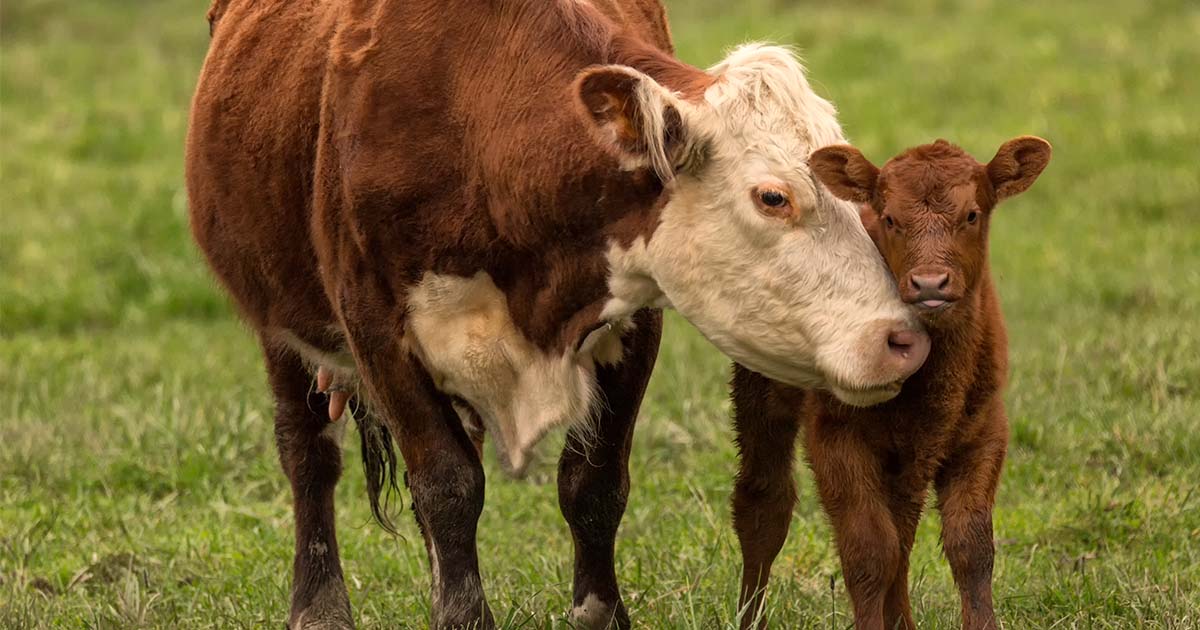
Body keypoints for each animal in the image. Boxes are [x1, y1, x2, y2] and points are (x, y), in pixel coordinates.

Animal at [184, 1, 926, 628]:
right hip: (281, 324)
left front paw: (599, 613)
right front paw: (461, 616)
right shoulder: (375, 328)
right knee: (308, 453)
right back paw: (318, 607)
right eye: (773, 197)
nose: (903, 338)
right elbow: (448, 486)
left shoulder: (633, 320)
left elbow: (591, 485)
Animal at [720, 137, 1051, 628]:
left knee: (903, 528)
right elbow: (869, 551)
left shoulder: (985, 430)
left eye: (972, 214)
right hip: (761, 388)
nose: (930, 283)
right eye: (891, 219)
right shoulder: (837, 436)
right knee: (764, 504)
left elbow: (970, 547)